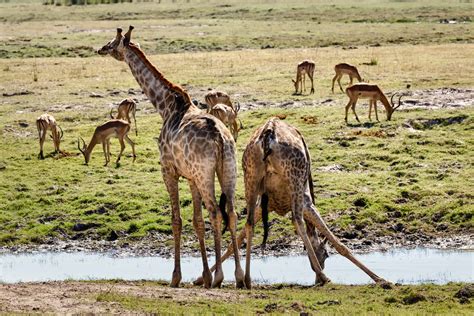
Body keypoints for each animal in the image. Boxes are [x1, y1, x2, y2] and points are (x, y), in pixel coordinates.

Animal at [96, 26, 244, 288]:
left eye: (112, 42)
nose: (100, 49)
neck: (165, 107)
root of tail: (220, 137)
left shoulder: (169, 171)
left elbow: (177, 220)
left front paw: (176, 277)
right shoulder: (191, 177)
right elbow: (197, 221)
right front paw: (203, 276)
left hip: (206, 174)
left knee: (216, 212)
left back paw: (219, 276)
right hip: (229, 169)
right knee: (232, 213)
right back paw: (239, 277)